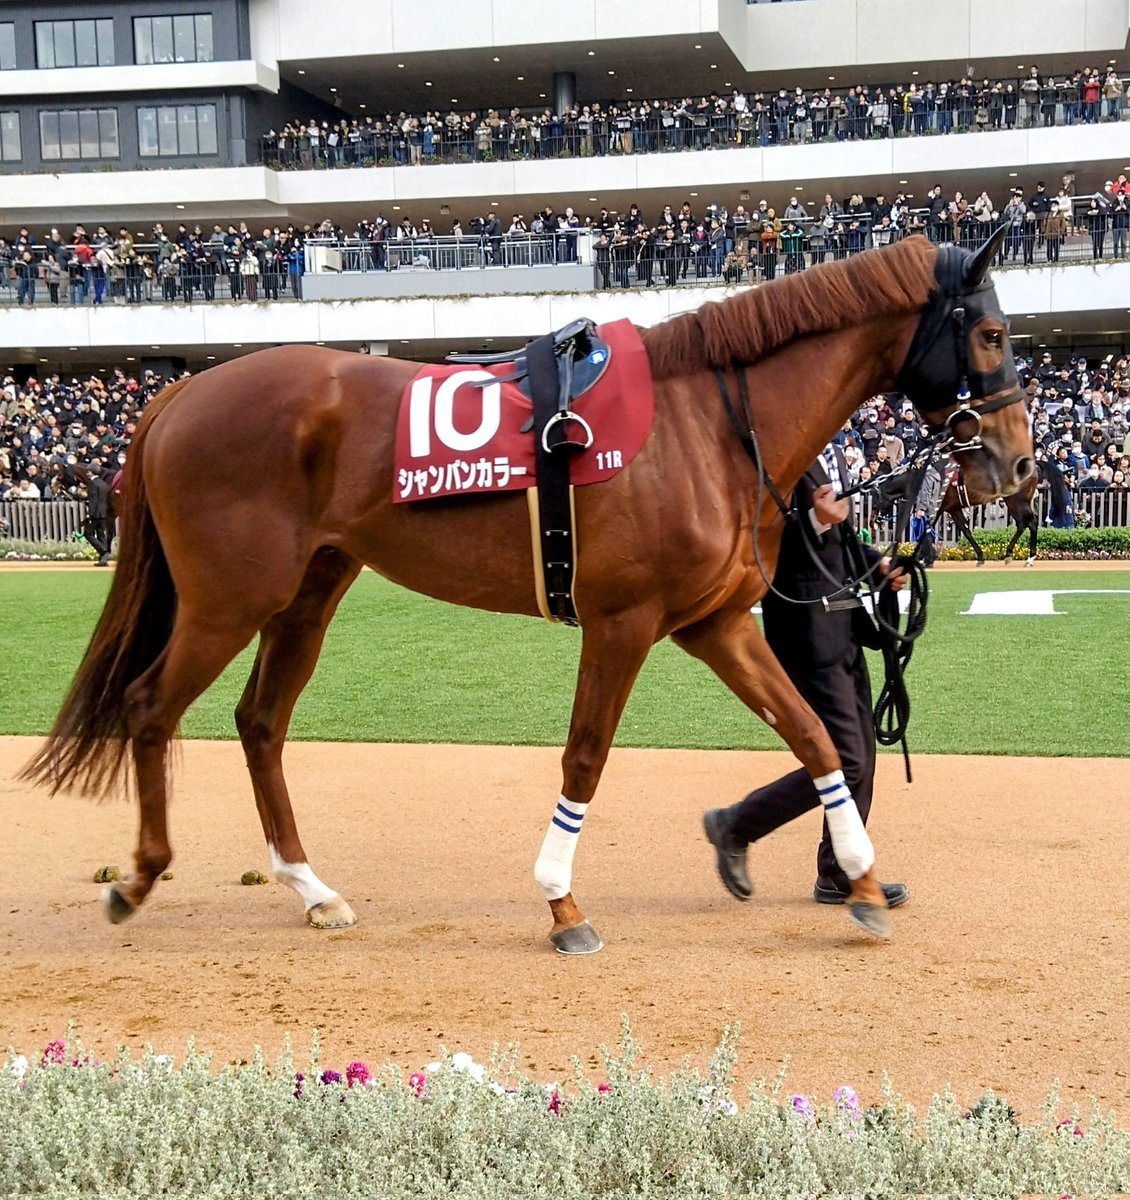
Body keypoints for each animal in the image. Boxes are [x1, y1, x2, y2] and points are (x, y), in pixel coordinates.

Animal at [22, 229, 1033, 952]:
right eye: (989, 333)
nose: (1018, 466)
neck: (706, 422)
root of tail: (176, 395)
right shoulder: (624, 623)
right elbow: (585, 757)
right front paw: (561, 903)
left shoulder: (714, 622)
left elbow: (816, 734)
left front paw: (860, 881)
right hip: (230, 597)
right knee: (151, 706)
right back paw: (138, 878)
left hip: (309, 593)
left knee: (260, 722)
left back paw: (313, 890)